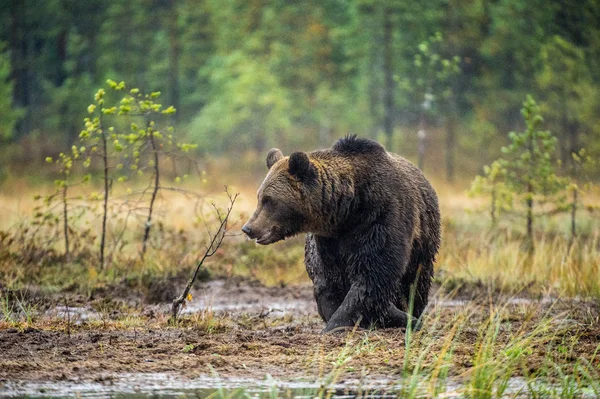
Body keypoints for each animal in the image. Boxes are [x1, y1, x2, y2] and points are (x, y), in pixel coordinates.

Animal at [243, 136, 440, 332]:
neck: (347, 210)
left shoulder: (381, 217)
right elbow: (334, 280)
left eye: (269, 200)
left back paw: (411, 312)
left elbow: (373, 274)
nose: (248, 228)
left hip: (423, 241)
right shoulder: (329, 241)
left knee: (415, 282)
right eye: (259, 197)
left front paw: (337, 324)